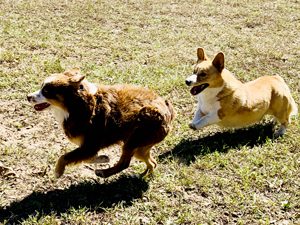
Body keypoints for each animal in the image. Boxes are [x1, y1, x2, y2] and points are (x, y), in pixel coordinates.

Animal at [27, 68, 176, 178]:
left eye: (46, 91)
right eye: (41, 87)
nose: (28, 97)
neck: (76, 106)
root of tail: (168, 108)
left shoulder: (90, 144)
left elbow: (65, 157)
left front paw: (58, 171)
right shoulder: (88, 147)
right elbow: (86, 157)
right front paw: (103, 158)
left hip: (136, 136)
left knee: (124, 164)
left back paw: (103, 173)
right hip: (140, 146)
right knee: (153, 162)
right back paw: (144, 175)